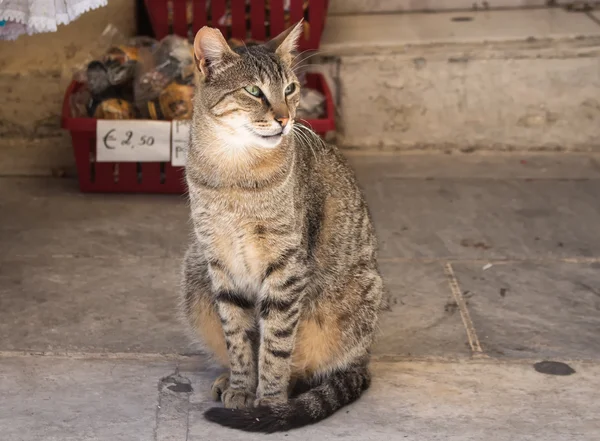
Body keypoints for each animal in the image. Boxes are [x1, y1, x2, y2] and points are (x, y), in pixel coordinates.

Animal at [180, 22, 382, 432]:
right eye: (254, 91)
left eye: (289, 89)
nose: (284, 118)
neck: (235, 170)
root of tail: (364, 358)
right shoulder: (219, 261)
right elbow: (238, 337)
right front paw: (241, 387)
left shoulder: (286, 266)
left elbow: (275, 344)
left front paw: (268, 402)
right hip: (193, 271)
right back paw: (225, 380)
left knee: (311, 367)